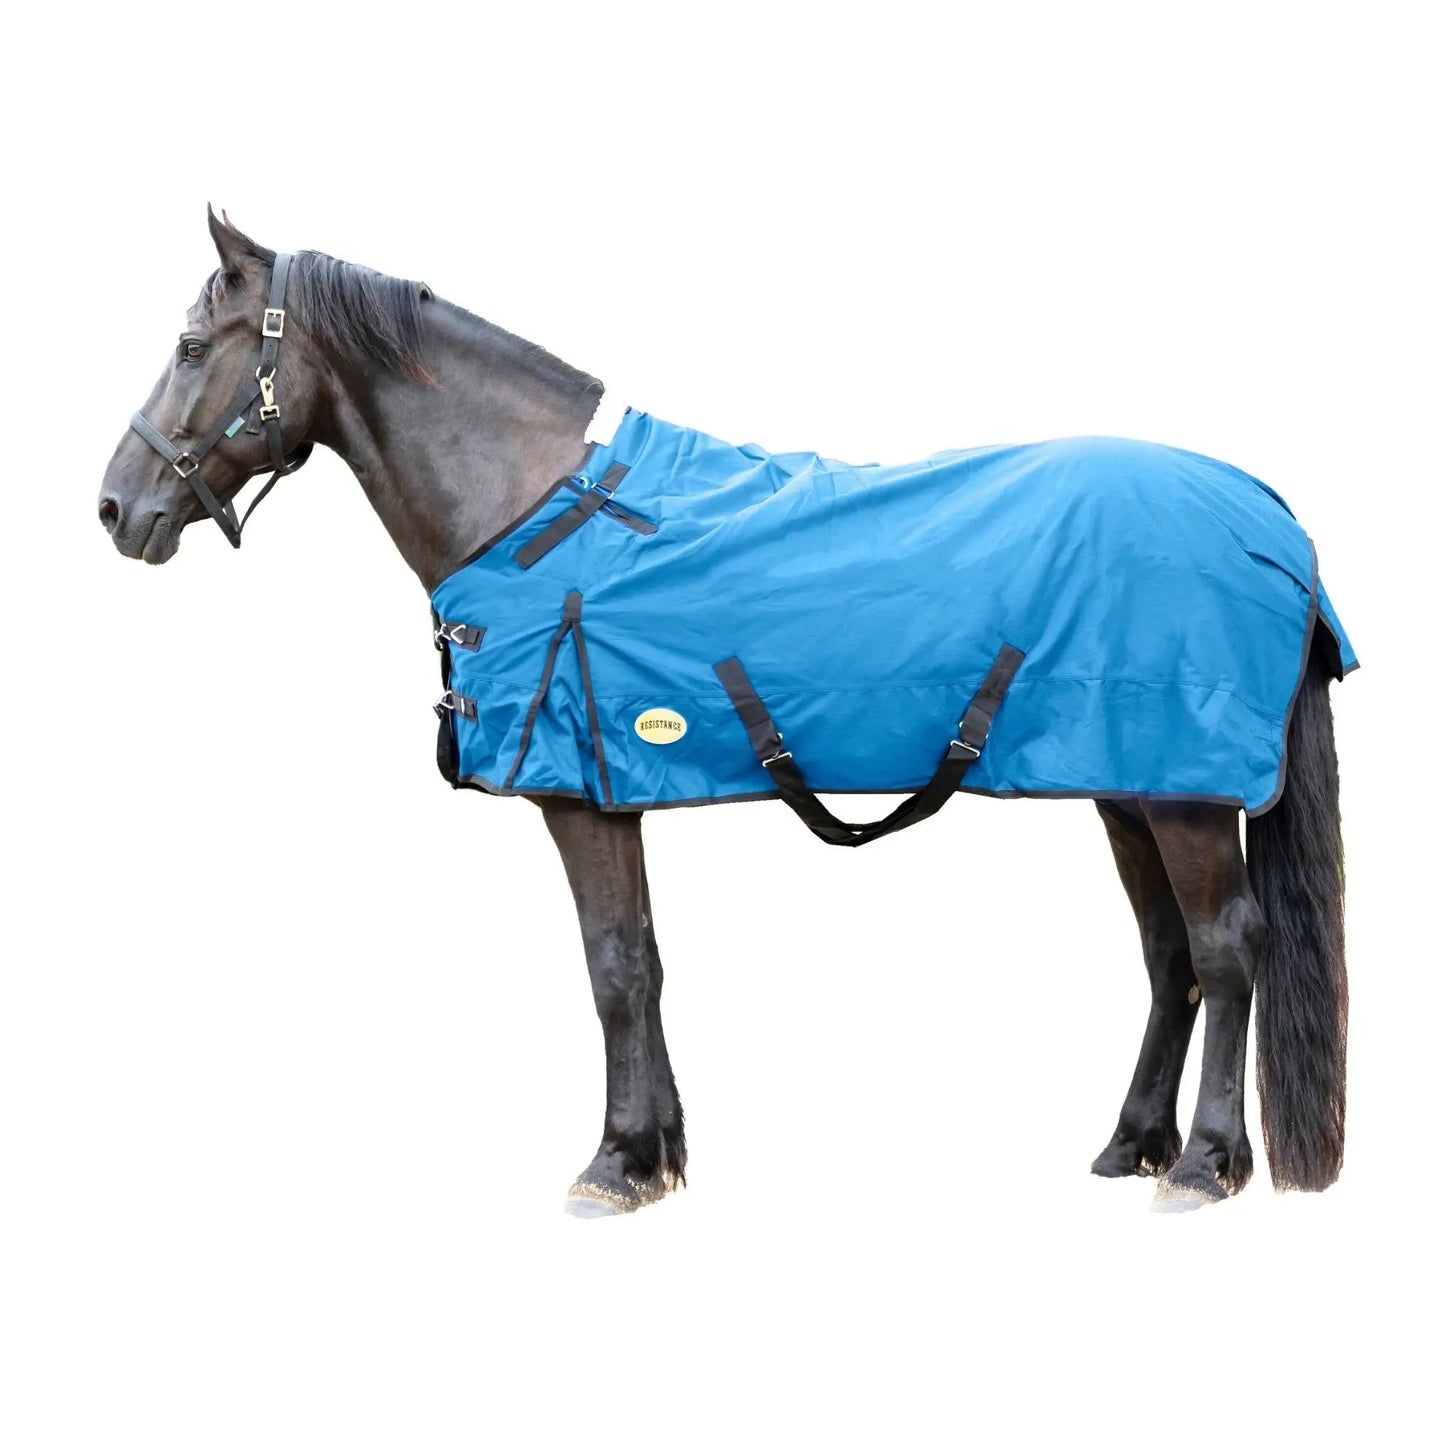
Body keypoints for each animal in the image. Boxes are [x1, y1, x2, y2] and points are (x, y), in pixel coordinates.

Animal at [98, 209, 1352, 1216]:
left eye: (191, 346)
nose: (115, 505)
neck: (531, 503)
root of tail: (1266, 511)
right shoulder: (613, 792)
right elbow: (645, 961)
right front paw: (656, 1152)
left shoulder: (577, 796)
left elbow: (610, 965)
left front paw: (612, 1163)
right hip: (1130, 784)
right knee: (1167, 953)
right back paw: (1130, 1143)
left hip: (1185, 796)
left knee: (1224, 949)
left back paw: (1202, 1163)